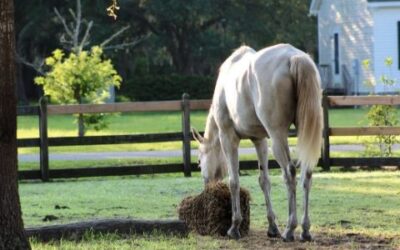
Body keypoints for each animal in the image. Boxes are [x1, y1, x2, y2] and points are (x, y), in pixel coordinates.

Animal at [192, 44, 324, 241]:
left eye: (199, 161)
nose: (207, 186)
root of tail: (294, 57)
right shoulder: (259, 140)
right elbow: (264, 180)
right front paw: (272, 226)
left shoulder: (228, 138)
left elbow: (234, 181)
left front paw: (235, 226)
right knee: (306, 174)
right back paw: (305, 230)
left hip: (277, 136)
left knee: (290, 173)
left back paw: (290, 229)